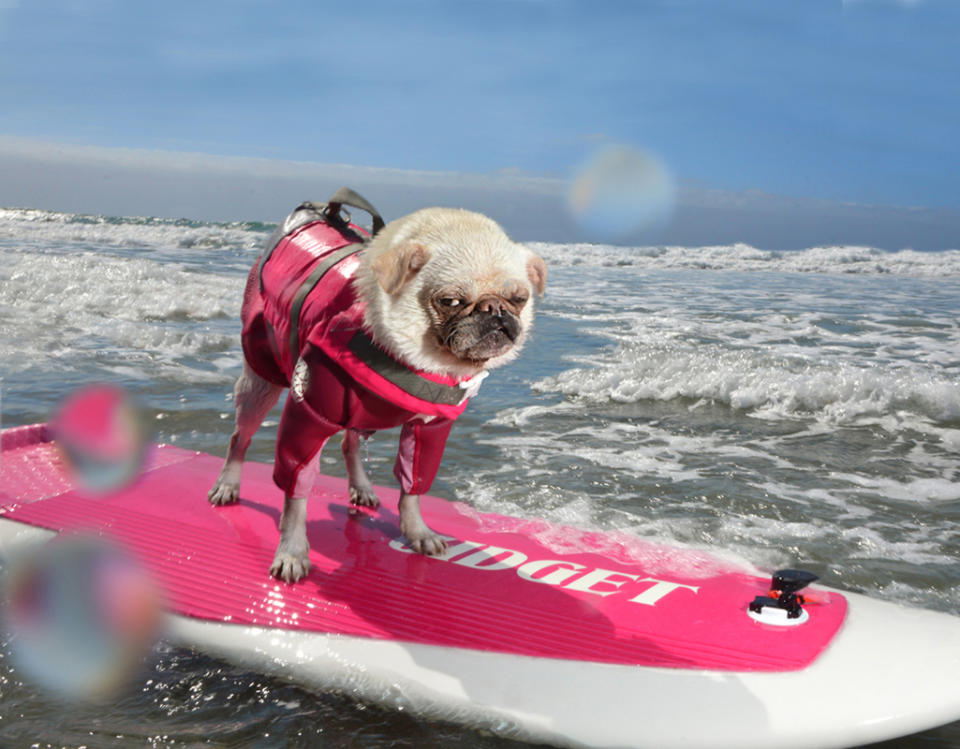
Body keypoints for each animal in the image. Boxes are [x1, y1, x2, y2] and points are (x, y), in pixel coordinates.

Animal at [206, 196, 544, 580]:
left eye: (519, 299)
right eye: (450, 301)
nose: (494, 309)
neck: (418, 357)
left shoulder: (430, 429)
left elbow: (413, 484)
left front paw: (416, 531)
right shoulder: (308, 414)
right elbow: (296, 491)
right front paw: (291, 550)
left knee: (349, 443)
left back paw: (362, 486)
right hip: (260, 378)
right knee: (240, 436)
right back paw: (228, 484)